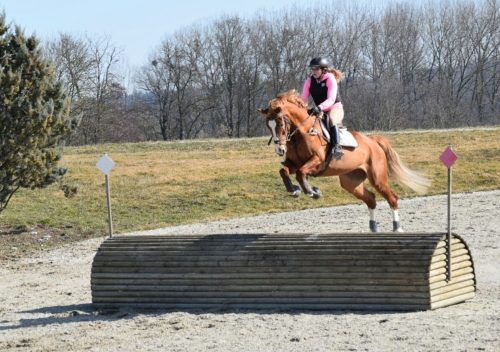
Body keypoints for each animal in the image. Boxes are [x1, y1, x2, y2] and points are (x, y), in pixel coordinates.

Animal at [258, 89, 430, 232]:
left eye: (281, 124)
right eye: (268, 125)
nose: (280, 150)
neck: (303, 132)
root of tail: (373, 141)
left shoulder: (317, 161)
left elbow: (301, 174)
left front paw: (312, 192)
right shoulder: (294, 163)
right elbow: (284, 171)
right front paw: (294, 190)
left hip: (378, 179)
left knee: (392, 198)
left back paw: (397, 228)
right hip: (351, 181)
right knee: (371, 199)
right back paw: (373, 228)